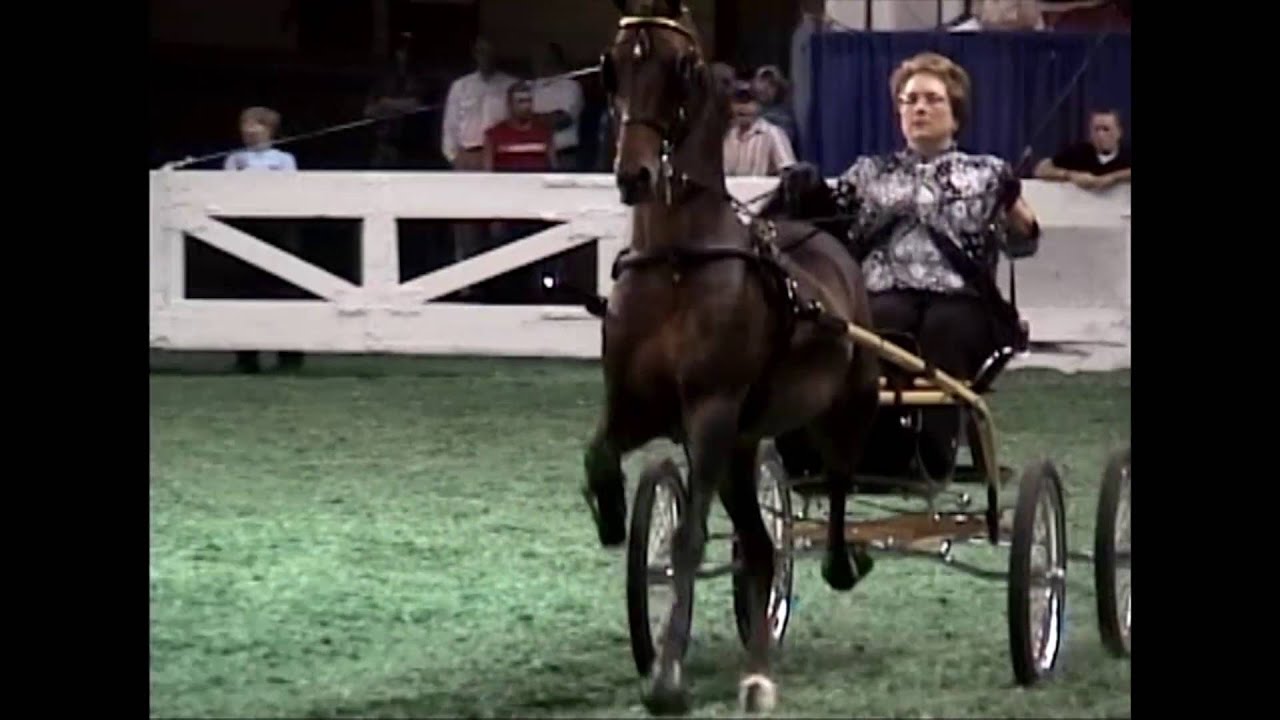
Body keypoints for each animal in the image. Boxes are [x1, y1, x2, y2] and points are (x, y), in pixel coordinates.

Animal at [580, 0, 881, 713]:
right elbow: (598, 454)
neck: (677, 264)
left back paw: (838, 569)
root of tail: (820, 235)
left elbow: (689, 539)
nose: (634, 174)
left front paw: (666, 675)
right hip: (744, 449)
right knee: (763, 549)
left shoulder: (711, 414)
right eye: (612, 66)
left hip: (846, 404)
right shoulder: (634, 408)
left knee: (837, 481)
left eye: (683, 68)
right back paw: (758, 670)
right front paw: (609, 511)